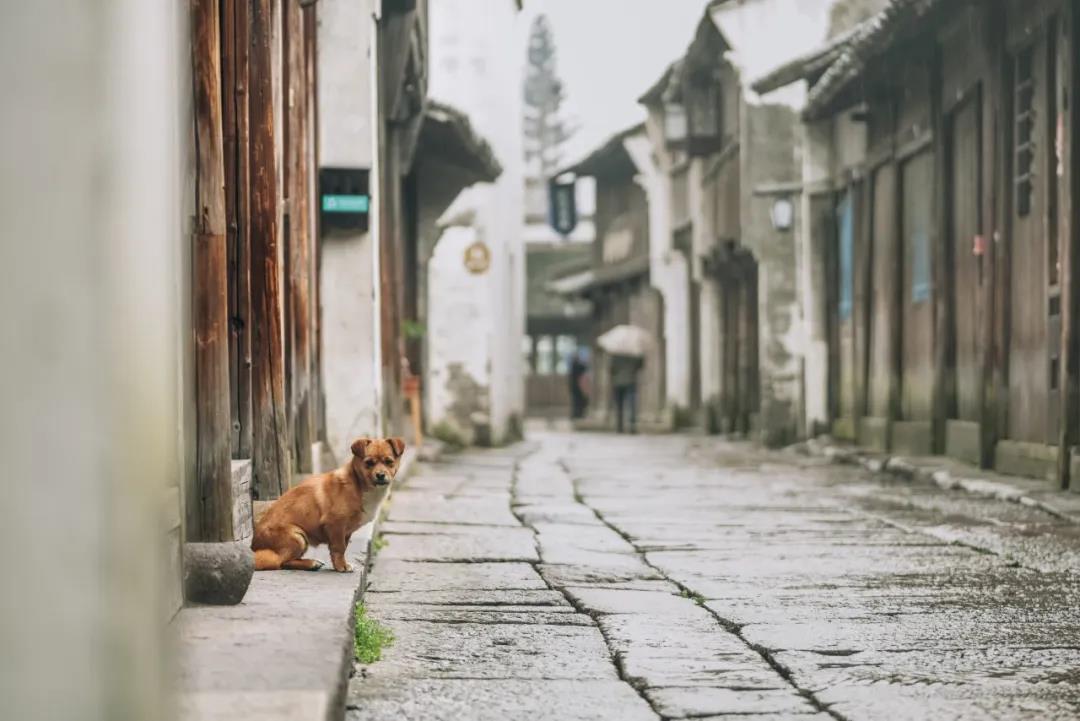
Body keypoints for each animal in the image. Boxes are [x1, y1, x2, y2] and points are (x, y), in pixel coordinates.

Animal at [251, 436, 406, 569]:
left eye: (389, 462)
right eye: (369, 463)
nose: (380, 475)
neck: (359, 485)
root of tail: (254, 545)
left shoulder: (345, 531)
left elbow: (343, 547)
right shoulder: (335, 524)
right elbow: (339, 548)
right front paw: (341, 567)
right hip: (297, 536)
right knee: (281, 562)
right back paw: (310, 563)